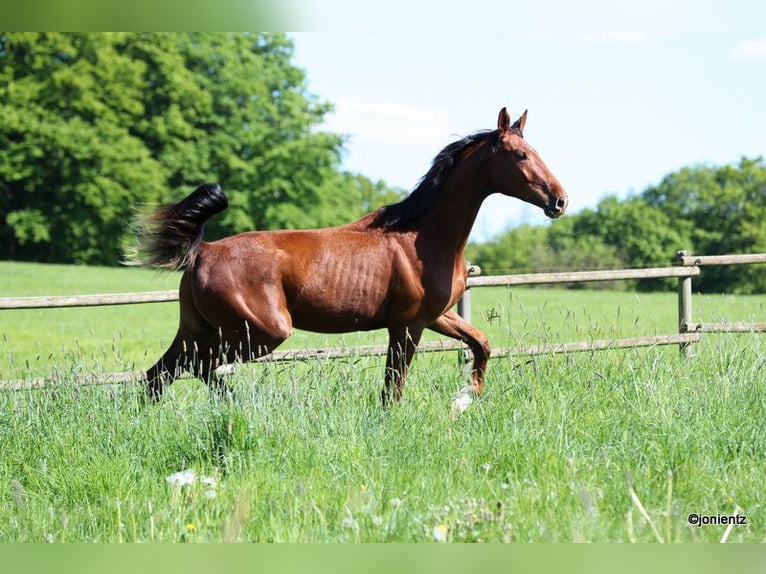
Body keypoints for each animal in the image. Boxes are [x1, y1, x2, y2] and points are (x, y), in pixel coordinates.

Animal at [136, 107, 567, 405]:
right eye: (519, 155)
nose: (560, 200)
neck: (422, 237)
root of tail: (203, 251)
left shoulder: (436, 316)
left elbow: (481, 343)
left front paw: (467, 397)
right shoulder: (407, 326)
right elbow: (393, 389)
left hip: (199, 329)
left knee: (159, 375)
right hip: (258, 332)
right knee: (197, 367)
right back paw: (236, 404)